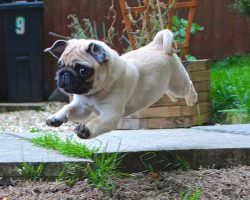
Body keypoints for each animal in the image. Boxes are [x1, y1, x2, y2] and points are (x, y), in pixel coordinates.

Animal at [45, 30, 197, 139]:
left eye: (83, 70)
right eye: (59, 66)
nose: (65, 74)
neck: (94, 93)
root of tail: (158, 45)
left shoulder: (110, 114)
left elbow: (97, 122)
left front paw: (85, 130)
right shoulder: (81, 107)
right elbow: (67, 108)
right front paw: (55, 118)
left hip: (178, 84)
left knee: (188, 85)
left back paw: (191, 99)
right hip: (168, 85)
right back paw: (173, 98)